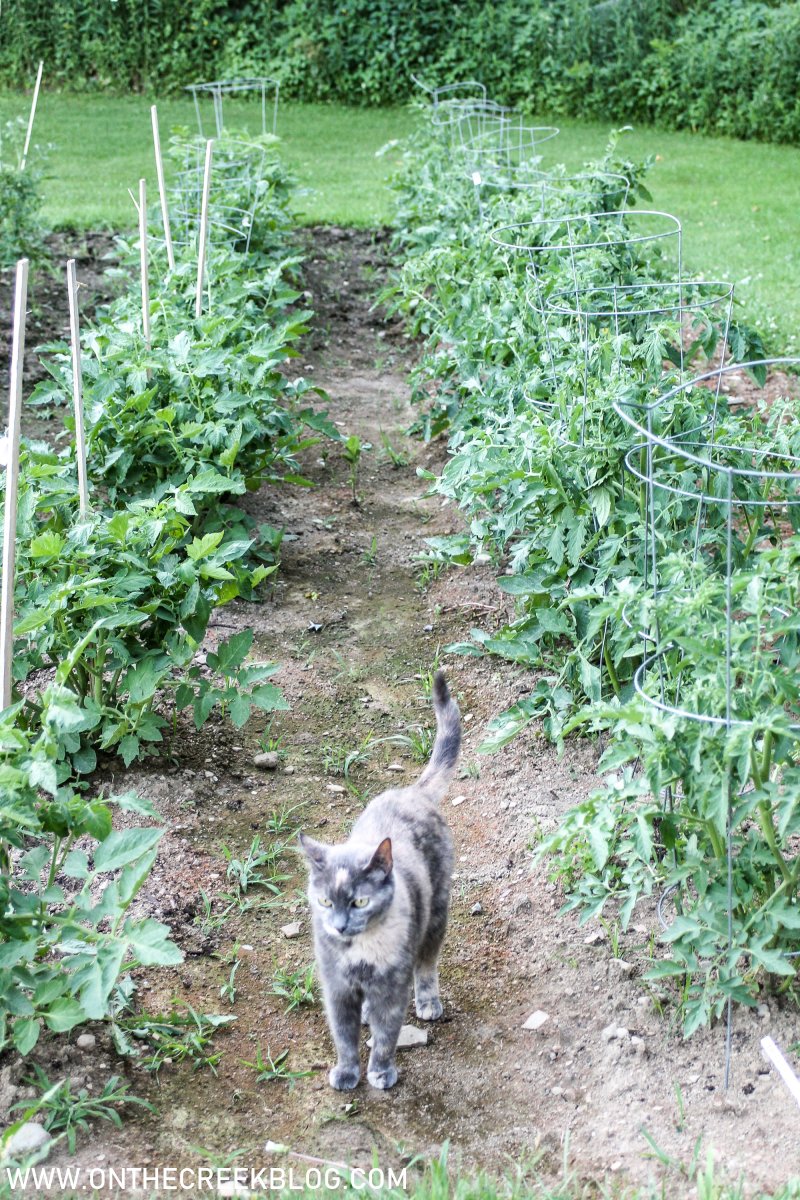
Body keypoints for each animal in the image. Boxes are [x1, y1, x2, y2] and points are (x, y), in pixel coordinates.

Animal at [299, 672, 462, 1094]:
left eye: (359, 902)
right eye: (325, 902)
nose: (339, 926)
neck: (360, 952)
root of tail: (412, 791)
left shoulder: (392, 986)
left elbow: (388, 1033)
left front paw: (381, 1072)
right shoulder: (336, 988)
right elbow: (343, 1035)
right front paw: (346, 1072)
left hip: (437, 914)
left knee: (427, 964)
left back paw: (428, 1003)